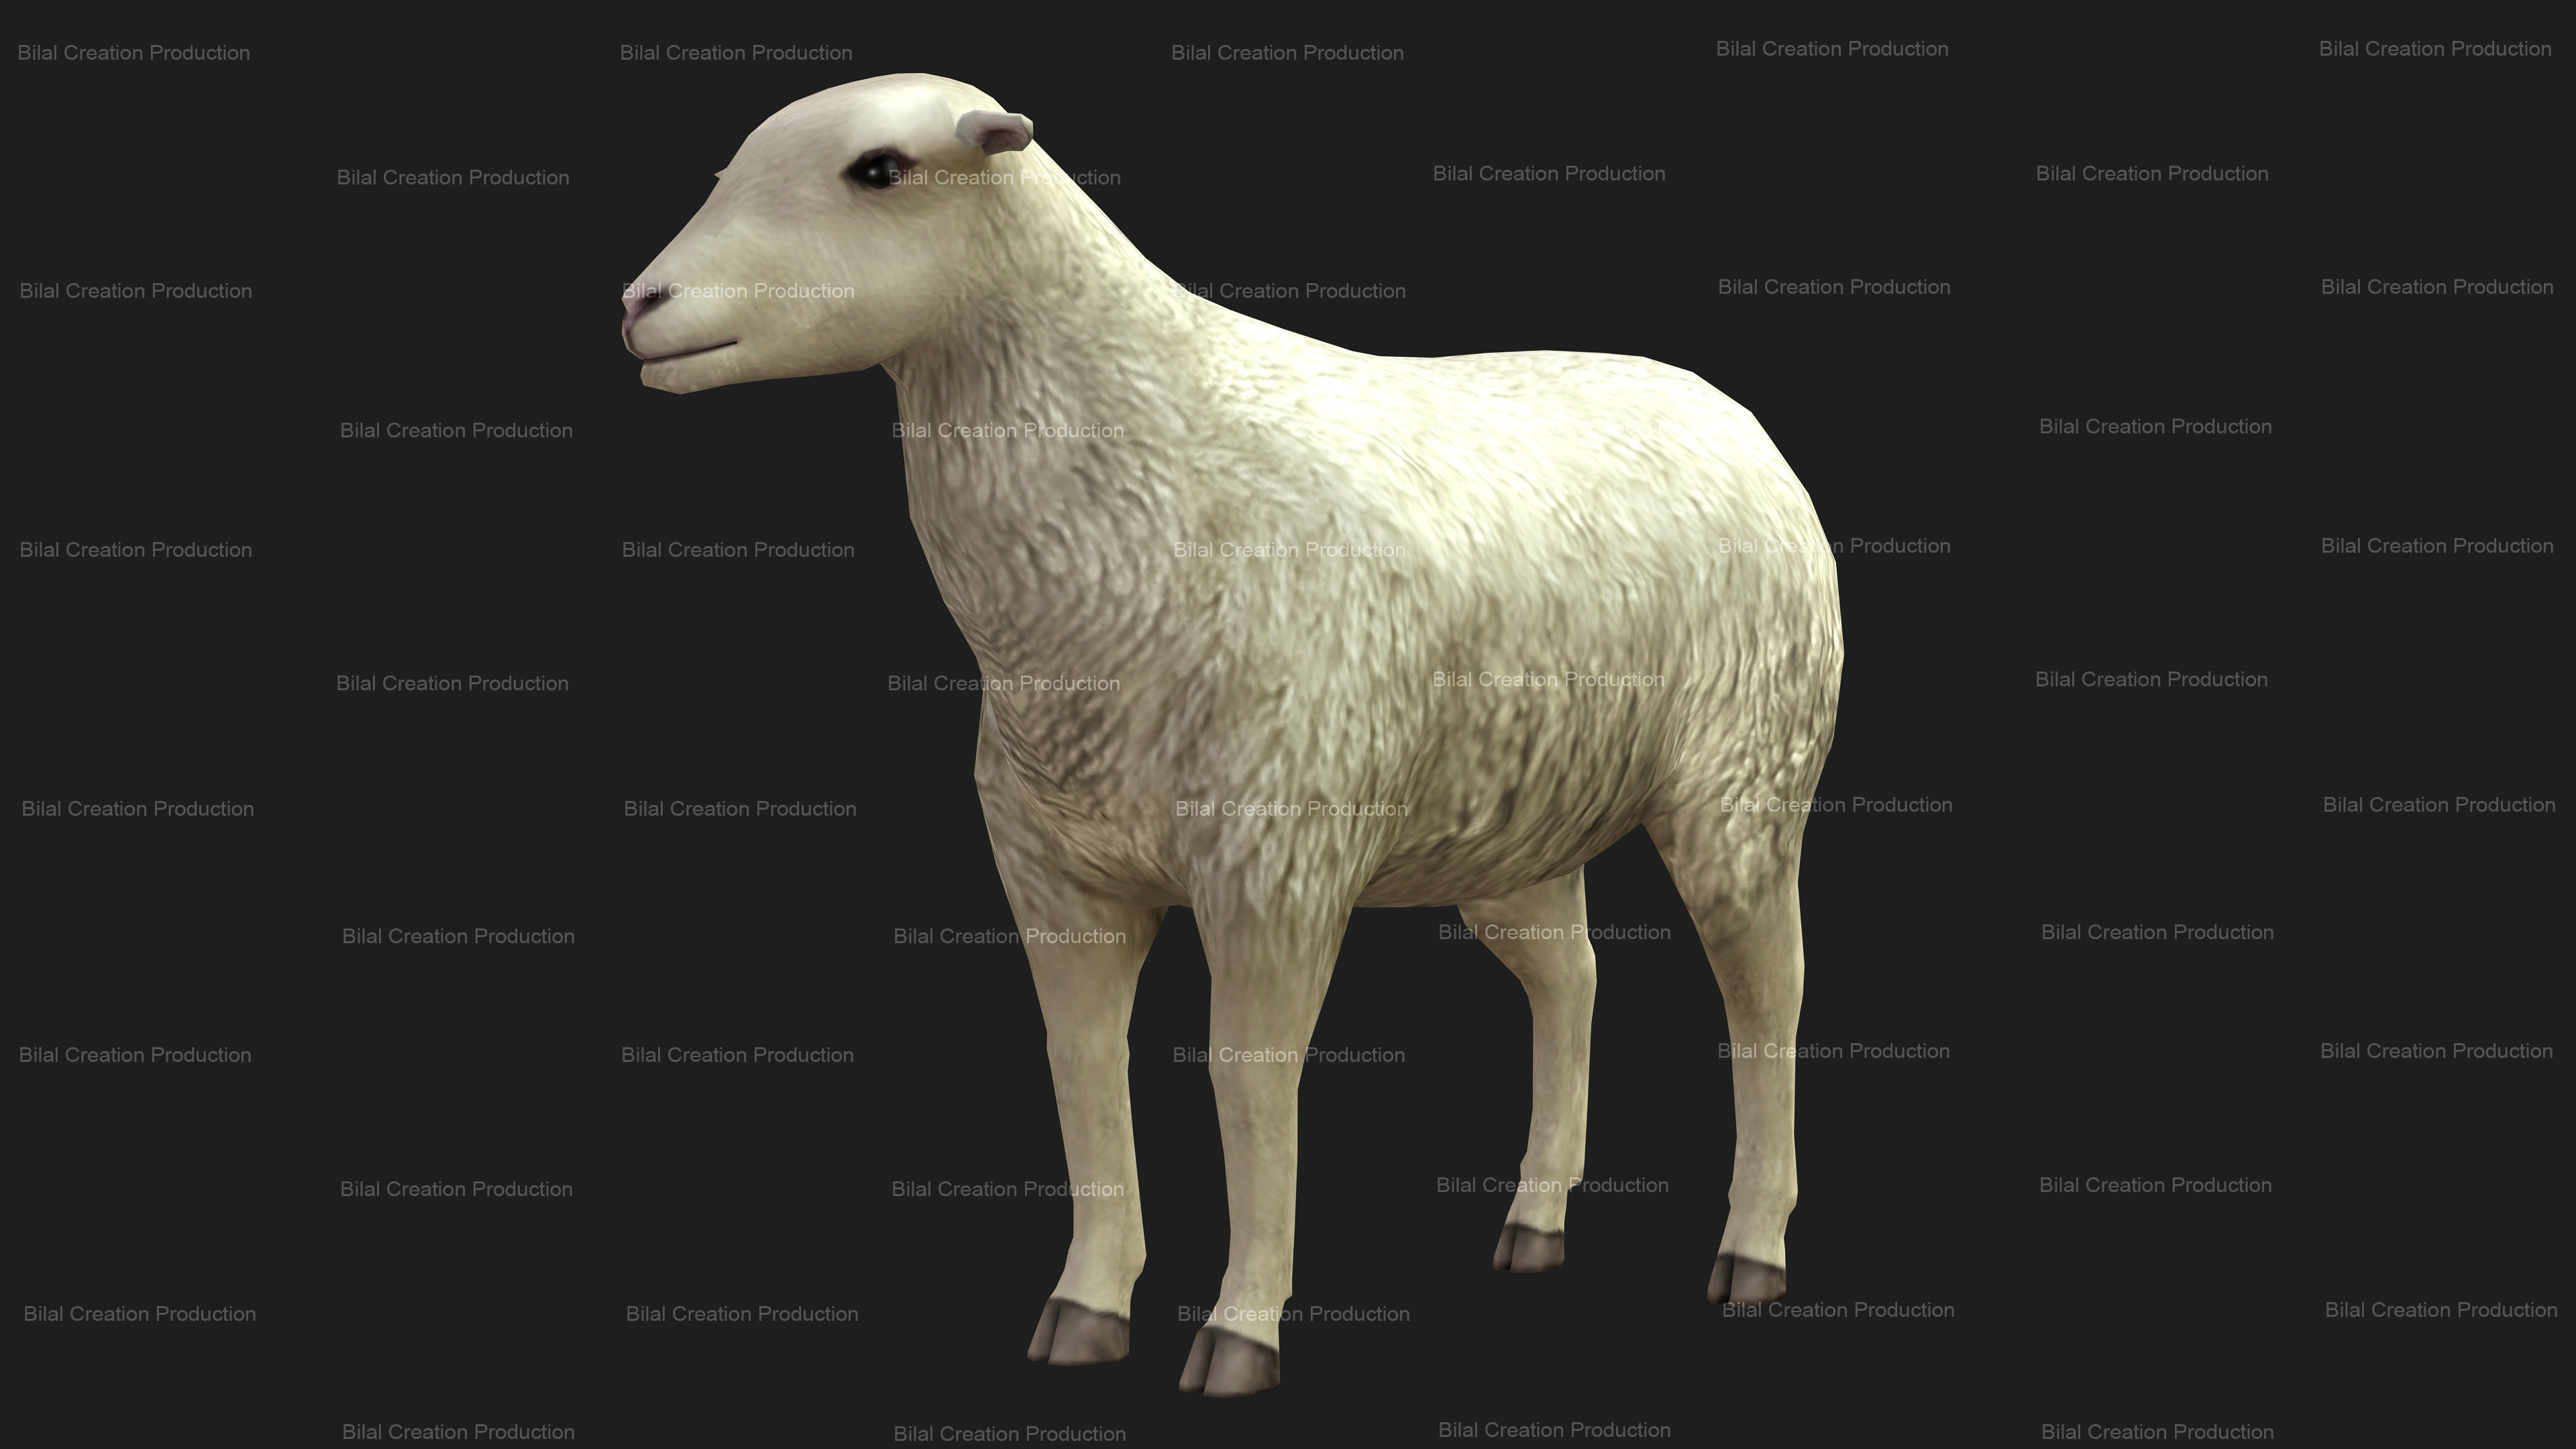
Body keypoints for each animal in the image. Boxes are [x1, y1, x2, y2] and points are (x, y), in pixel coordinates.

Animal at [624, 73, 1843, 1398]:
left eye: (880, 171)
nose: (640, 306)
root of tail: (1727, 407)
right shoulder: (1057, 879)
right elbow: (1082, 1069)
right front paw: (1085, 1306)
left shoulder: (1275, 869)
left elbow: (1245, 1083)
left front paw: (1240, 1332)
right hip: (1517, 812)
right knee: (1570, 978)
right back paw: (1535, 1223)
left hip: (1743, 775)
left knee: (1767, 990)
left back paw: (1753, 1251)